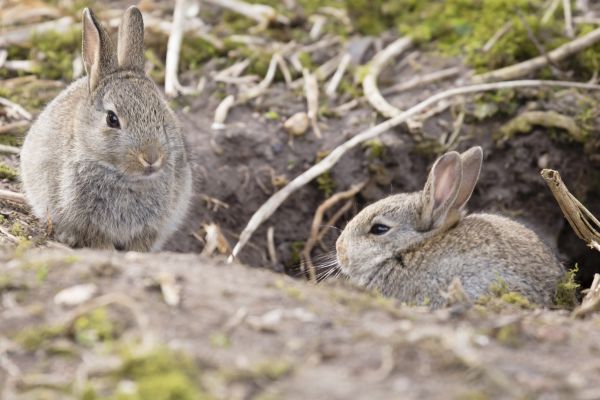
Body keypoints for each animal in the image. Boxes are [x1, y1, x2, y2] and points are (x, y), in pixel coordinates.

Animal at [19, 6, 192, 252]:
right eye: (112, 119)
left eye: (161, 113)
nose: (151, 158)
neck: (124, 177)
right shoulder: (90, 225)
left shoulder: (151, 228)